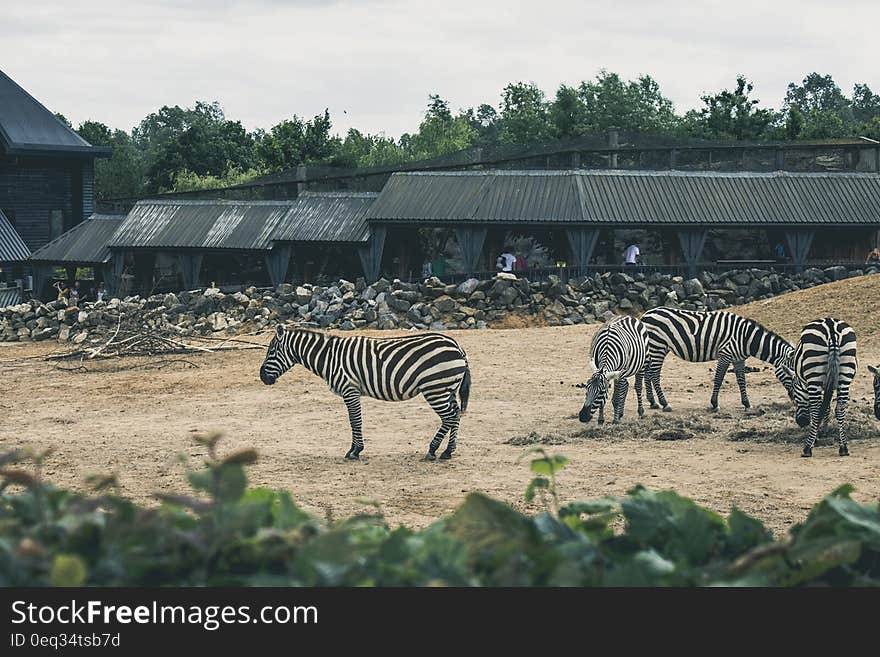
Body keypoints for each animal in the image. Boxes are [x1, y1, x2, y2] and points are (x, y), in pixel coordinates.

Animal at [258, 326, 470, 458]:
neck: (330, 358)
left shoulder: (350, 390)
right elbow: (355, 420)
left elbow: (355, 420)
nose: (262, 377)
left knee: (450, 416)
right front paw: (355, 449)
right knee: (456, 414)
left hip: (435, 388)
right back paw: (448, 451)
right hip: (448, 389)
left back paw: (434, 450)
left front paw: (355, 451)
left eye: (271, 352)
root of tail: (457, 346)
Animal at [640, 308, 796, 410]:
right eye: (792, 376)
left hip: (656, 348)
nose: (794, 400)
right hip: (657, 346)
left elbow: (741, 380)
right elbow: (719, 379)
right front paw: (714, 404)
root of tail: (646, 314)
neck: (746, 338)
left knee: (648, 373)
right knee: (654, 374)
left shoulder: (739, 359)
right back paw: (664, 403)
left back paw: (653, 402)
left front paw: (746, 403)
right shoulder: (725, 354)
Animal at [792, 318, 860, 456]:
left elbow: (819, 408)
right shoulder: (830, 385)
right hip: (845, 373)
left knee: (816, 410)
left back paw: (807, 448)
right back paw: (843, 447)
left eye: (795, 396)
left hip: (814, 373)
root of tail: (831, 327)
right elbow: (827, 407)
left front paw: (816, 437)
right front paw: (824, 431)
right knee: (840, 409)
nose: (801, 422)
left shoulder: (814, 384)